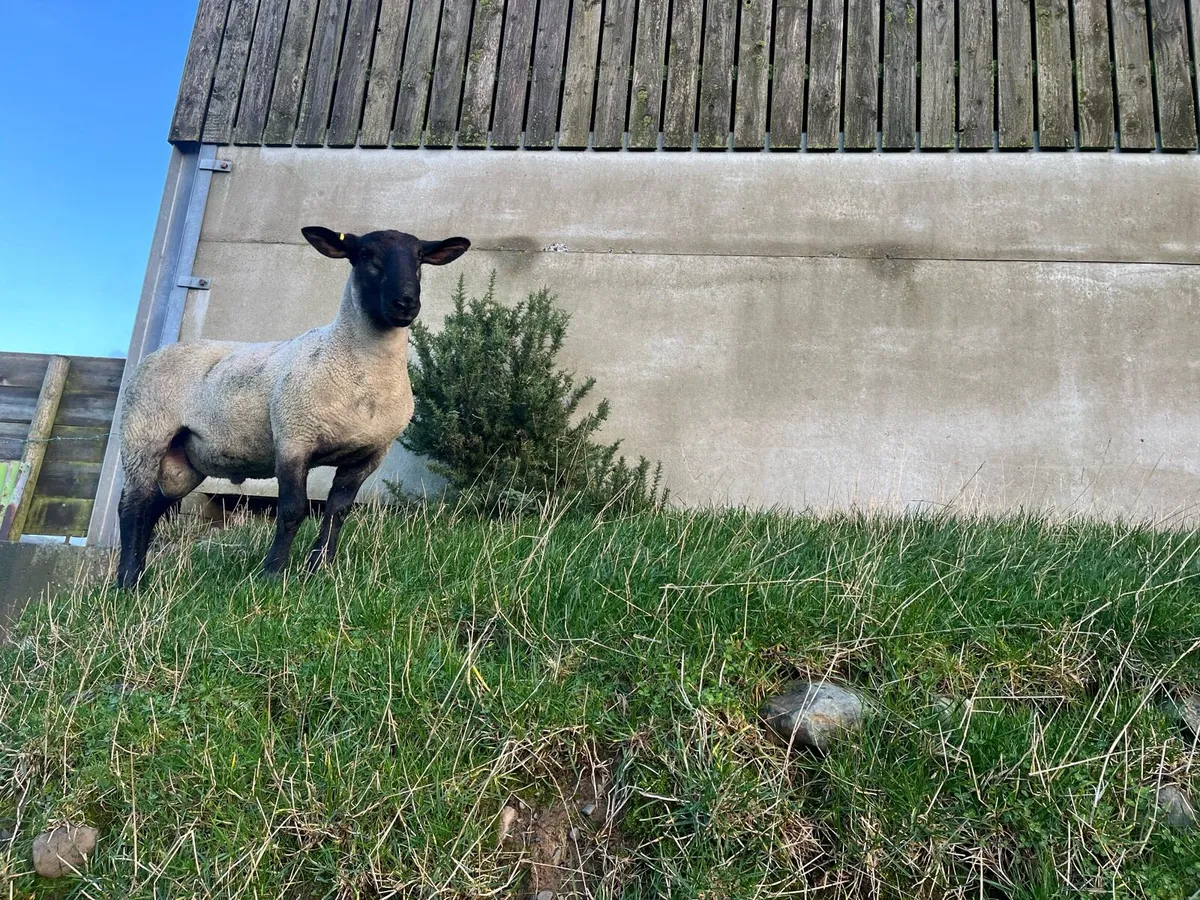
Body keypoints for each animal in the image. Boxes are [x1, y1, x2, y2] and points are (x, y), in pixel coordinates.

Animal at [115, 226, 470, 589]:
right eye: (366, 256)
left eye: (420, 259)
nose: (405, 303)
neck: (359, 368)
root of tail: (160, 352)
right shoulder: (293, 439)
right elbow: (291, 510)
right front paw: (273, 573)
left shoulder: (368, 455)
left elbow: (337, 511)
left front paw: (320, 569)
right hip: (143, 433)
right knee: (133, 505)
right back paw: (128, 583)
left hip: (186, 463)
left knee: (153, 506)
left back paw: (139, 572)